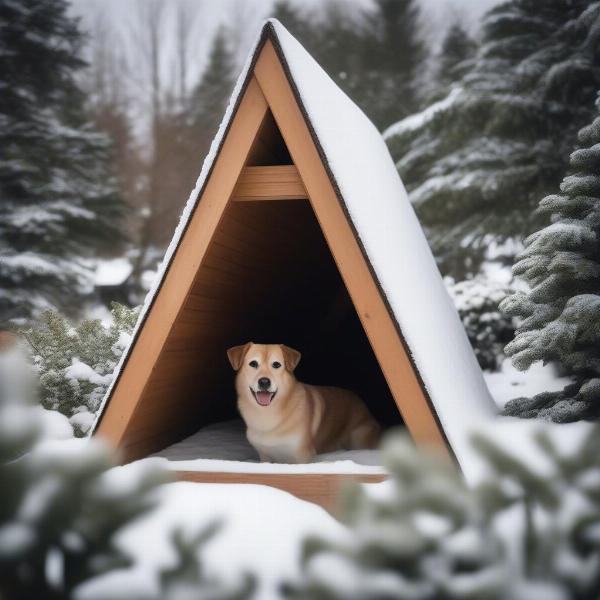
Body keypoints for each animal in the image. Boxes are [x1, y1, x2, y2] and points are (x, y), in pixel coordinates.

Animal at [226, 342, 380, 464]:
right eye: (253, 364)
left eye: (276, 365)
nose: (264, 382)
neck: (268, 414)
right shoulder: (265, 456)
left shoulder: (303, 455)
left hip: (359, 437)